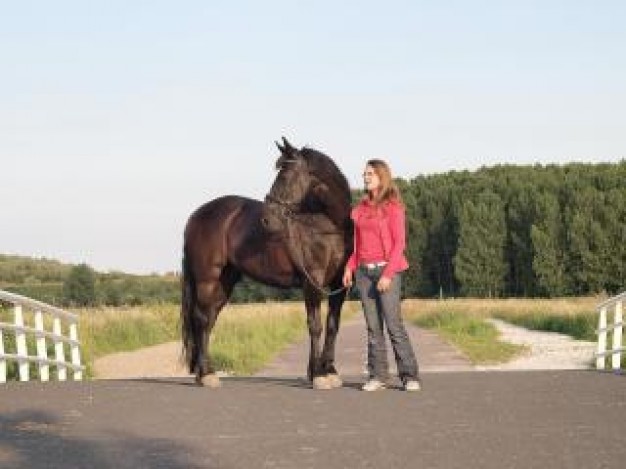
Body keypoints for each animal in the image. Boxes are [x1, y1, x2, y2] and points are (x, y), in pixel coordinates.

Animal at [183, 137, 354, 390]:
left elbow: (333, 325)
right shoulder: (312, 282)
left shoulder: (338, 285)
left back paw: (203, 372)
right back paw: (206, 374)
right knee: (201, 318)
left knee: (209, 319)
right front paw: (318, 375)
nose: (266, 219)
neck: (326, 225)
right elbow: (315, 326)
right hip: (207, 278)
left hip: (225, 281)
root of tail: (196, 215)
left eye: (285, 175)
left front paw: (329, 371)